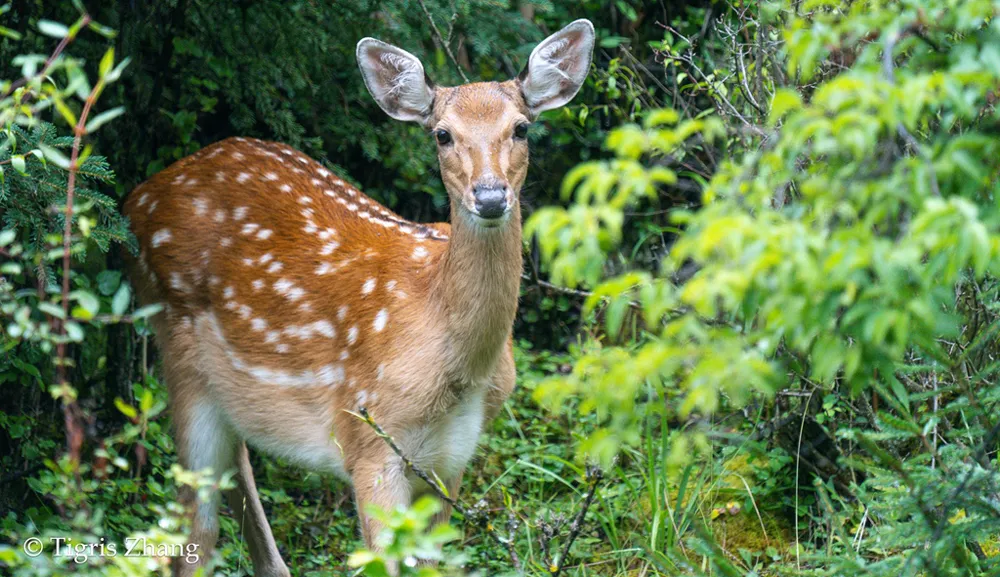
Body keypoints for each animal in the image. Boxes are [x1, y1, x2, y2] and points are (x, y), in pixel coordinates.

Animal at [123, 19, 592, 576]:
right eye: (442, 134)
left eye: (521, 128)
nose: (491, 196)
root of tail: (136, 198)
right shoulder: (366, 438)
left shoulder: (452, 458)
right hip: (176, 344)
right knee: (198, 523)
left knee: (234, 469)